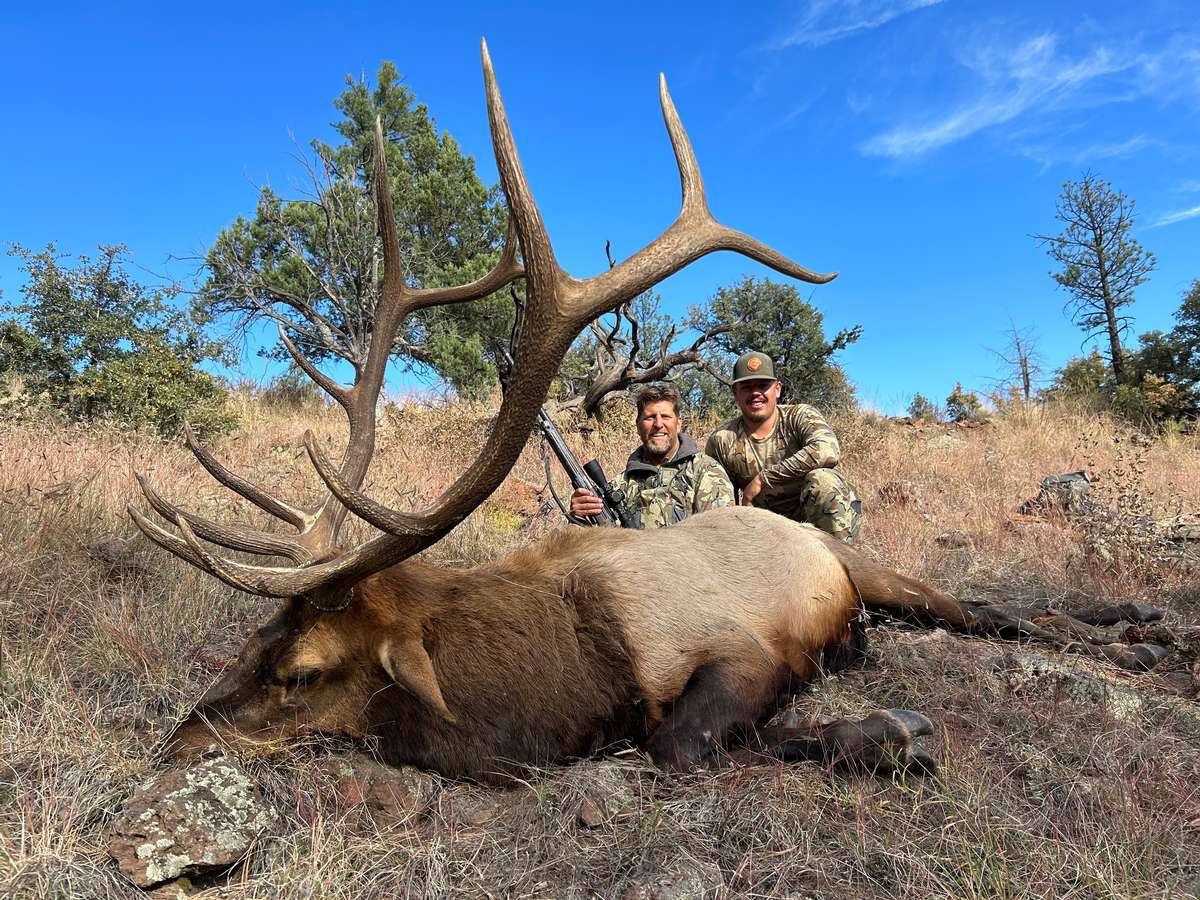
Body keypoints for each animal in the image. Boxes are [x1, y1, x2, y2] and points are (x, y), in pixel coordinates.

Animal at [129, 40, 1171, 784]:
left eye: (301, 672)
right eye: (253, 643)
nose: (175, 743)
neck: (561, 685)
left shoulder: (737, 655)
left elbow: (684, 744)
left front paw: (894, 731)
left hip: (855, 558)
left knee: (988, 607)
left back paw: (1141, 627)